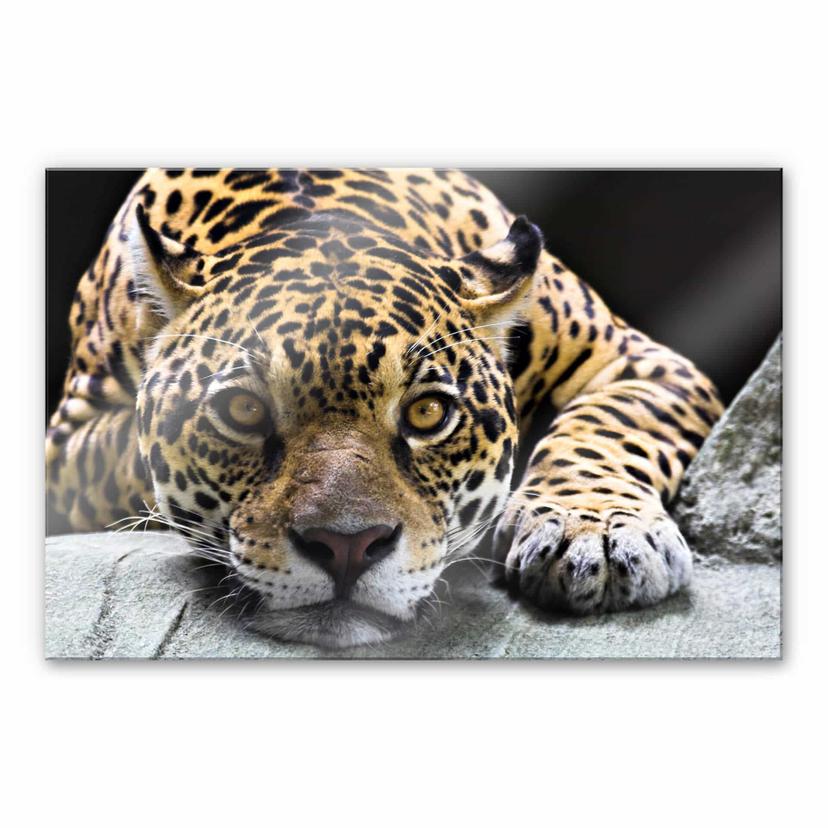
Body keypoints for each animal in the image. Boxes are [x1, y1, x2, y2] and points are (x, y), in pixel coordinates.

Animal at [46, 168, 723, 648]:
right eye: (243, 411)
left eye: (428, 413)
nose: (347, 547)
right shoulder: (69, 448)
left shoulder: (638, 362)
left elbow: (604, 431)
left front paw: (598, 537)